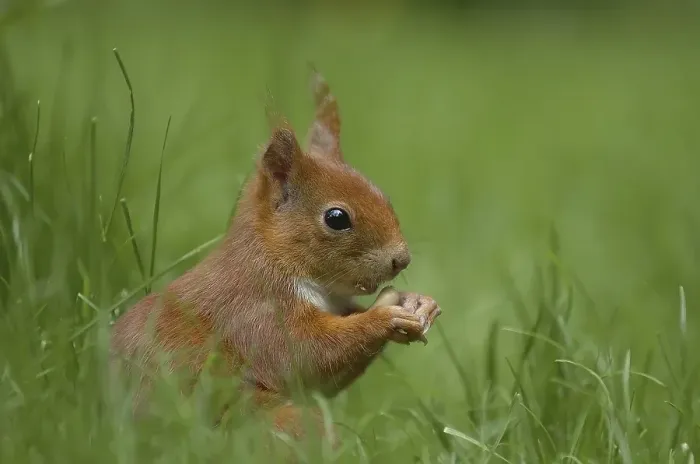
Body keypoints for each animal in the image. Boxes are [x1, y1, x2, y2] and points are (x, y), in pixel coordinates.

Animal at [110, 68, 442, 442]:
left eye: (383, 195)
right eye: (336, 218)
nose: (401, 260)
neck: (277, 259)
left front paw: (418, 302)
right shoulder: (257, 312)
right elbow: (305, 356)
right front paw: (384, 318)